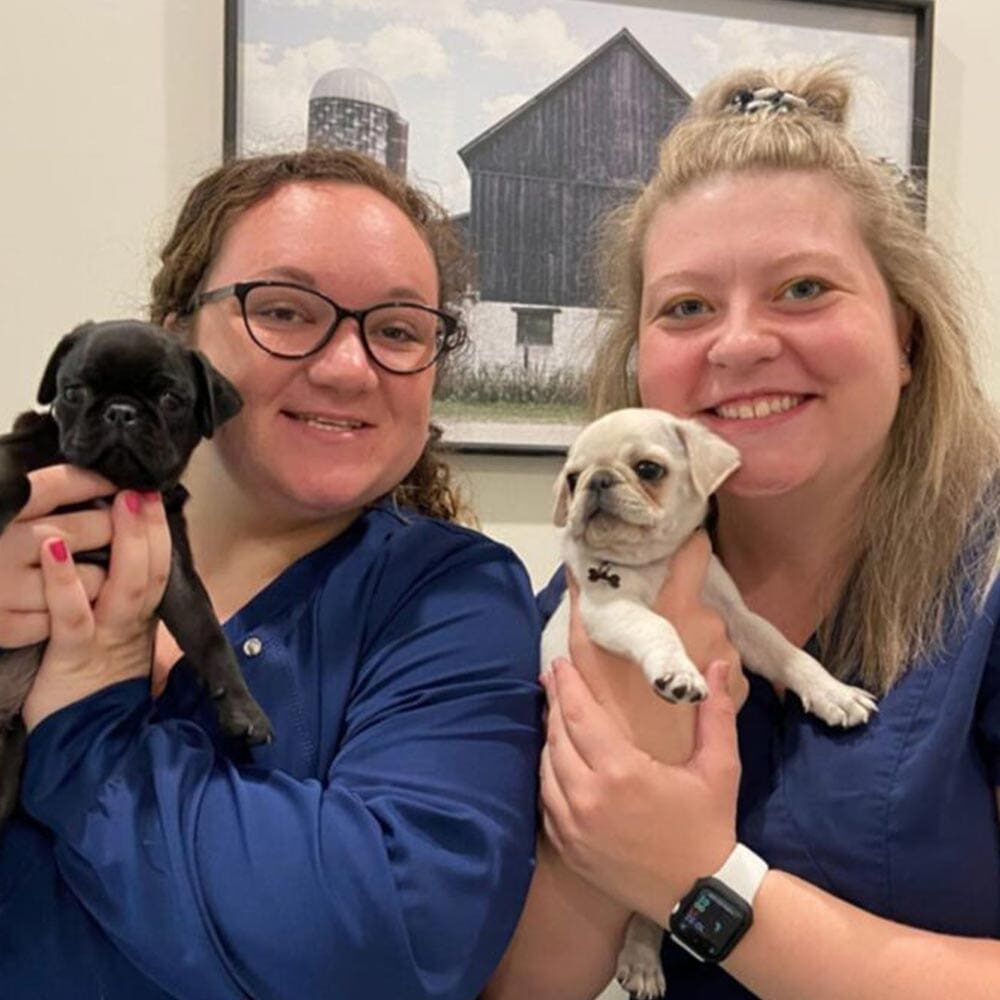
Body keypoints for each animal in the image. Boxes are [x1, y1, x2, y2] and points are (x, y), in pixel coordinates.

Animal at [0, 318, 274, 820]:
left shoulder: (175, 571)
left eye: (170, 399)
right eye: (74, 391)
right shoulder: (20, 448)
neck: (112, 486)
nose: (121, 412)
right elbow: (19, 479)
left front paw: (243, 708)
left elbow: (207, 634)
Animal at [544, 408, 880, 1000]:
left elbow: (788, 652)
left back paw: (642, 959)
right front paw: (677, 673)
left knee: (650, 911)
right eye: (573, 478)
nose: (597, 483)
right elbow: (656, 626)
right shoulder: (609, 610)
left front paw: (832, 692)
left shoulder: (740, 621)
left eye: (648, 469)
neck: (651, 564)